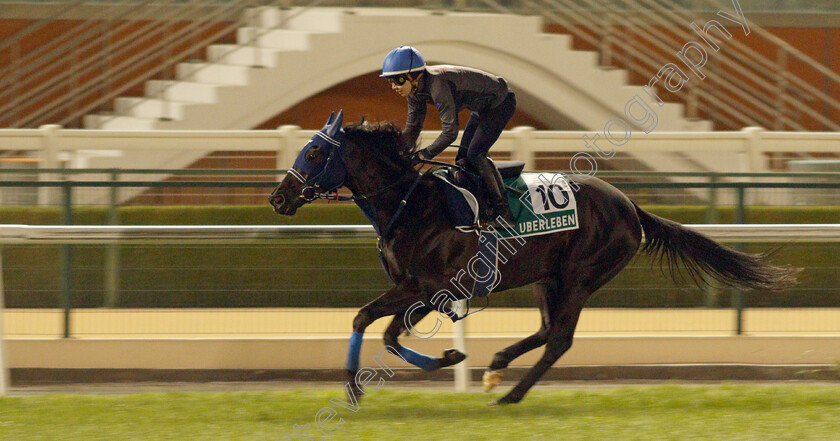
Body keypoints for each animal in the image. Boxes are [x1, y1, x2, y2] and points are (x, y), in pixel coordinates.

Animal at [270, 111, 800, 404]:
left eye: (314, 153)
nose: (278, 197)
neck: (409, 201)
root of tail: (630, 205)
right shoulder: (417, 290)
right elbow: (372, 324)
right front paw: (358, 386)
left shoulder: (429, 288)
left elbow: (380, 327)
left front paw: (447, 356)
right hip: (548, 276)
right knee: (547, 330)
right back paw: (497, 367)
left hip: (581, 275)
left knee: (560, 339)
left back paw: (511, 394)